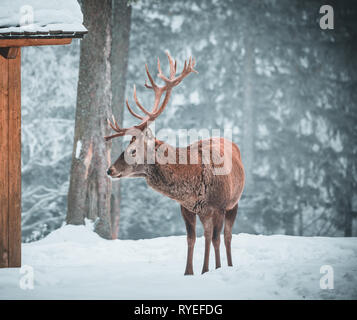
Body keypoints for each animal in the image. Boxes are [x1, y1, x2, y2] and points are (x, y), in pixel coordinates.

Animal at [104, 52, 243, 276]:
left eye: (132, 150)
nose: (109, 170)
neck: (193, 185)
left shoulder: (219, 205)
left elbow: (217, 238)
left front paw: (218, 268)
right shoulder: (186, 208)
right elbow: (190, 239)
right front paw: (190, 272)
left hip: (234, 202)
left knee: (226, 236)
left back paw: (227, 265)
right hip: (206, 212)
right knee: (207, 234)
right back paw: (206, 268)